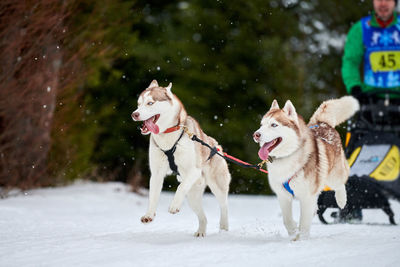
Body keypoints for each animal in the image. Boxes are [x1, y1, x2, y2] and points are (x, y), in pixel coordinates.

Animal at [131, 79, 231, 237]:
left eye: (150, 103)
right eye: (139, 103)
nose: (134, 114)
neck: (167, 136)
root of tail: (217, 146)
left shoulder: (193, 170)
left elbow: (180, 187)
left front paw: (174, 206)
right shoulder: (156, 174)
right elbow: (153, 196)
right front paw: (149, 214)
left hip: (217, 186)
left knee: (224, 206)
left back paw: (224, 228)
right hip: (192, 196)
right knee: (203, 217)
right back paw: (201, 232)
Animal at [253, 96, 360, 241]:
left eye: (274, 125)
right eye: (261, 124)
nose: (256, 134)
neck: (287, 157)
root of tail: (322, 123)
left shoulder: (306, 196)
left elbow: (304, 223)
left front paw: (301, 240)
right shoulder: (283, 195)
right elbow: (287, 220)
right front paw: (293, 233)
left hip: (333, 176)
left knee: (341, 183)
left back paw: (341, 199)